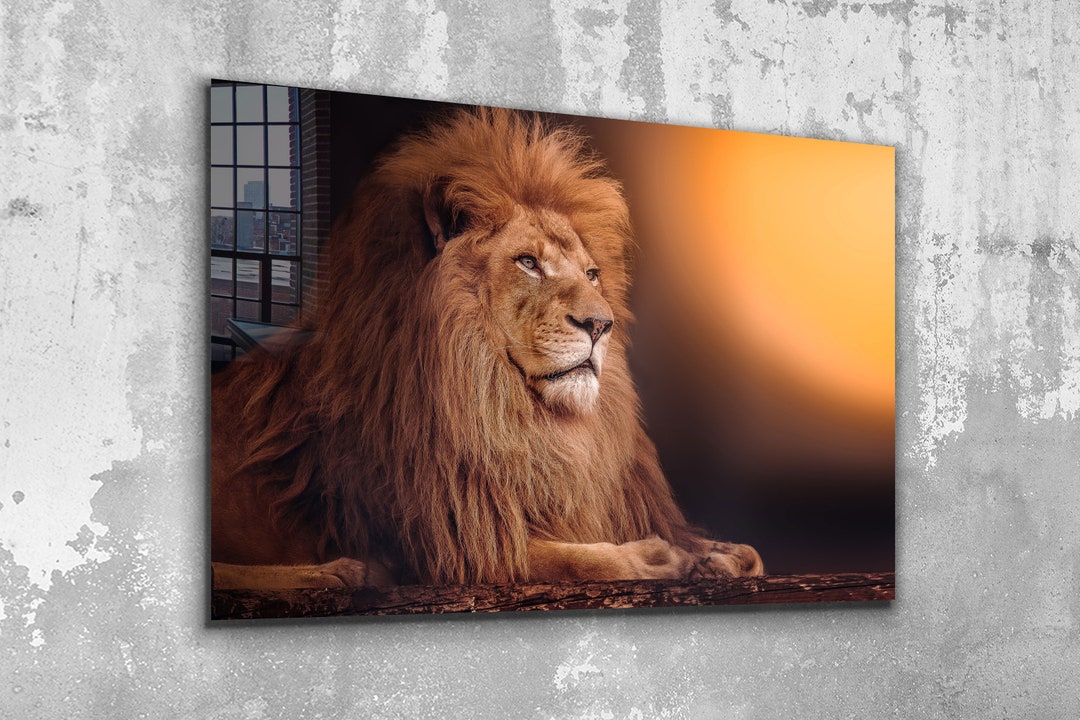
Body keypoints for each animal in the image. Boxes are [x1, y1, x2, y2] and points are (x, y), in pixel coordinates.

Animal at [211, 107, 762, 591]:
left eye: (592, 274)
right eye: (528, 263)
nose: (600, 324)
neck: (509, 407)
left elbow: (744, 552)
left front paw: (720, 555)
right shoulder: (449, 540)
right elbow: (574, 560)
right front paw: (661, 559)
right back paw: (345, 572)